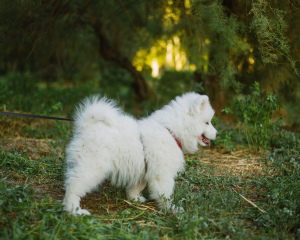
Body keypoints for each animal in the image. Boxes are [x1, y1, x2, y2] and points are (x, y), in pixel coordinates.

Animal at [63, 92, 218, 216]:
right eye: (207, 123)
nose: (217, 134)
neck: (171, 131)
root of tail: (86, 126)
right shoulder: (163, 174)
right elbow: (166, 194)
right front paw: (171, 209)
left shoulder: (144, 169)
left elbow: (136, 187)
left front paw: (134, 199)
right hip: (92, 167)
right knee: (73, 186)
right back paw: (74, 210)